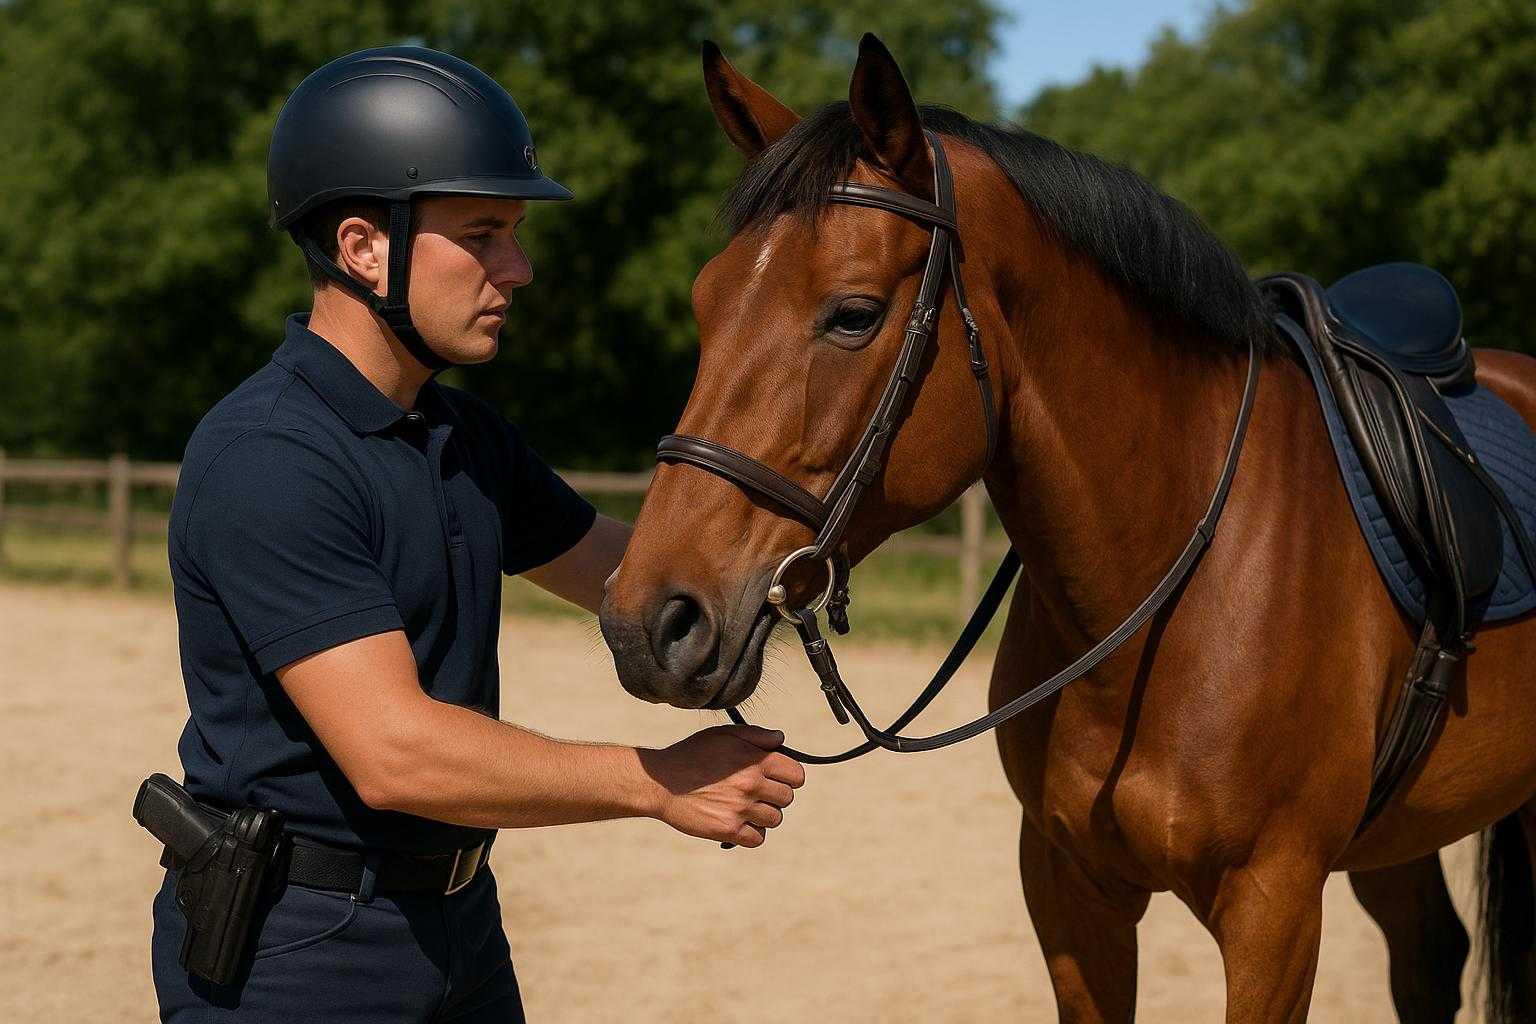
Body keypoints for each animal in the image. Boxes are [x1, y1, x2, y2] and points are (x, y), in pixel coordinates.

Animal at [597, 34, 1536, 1022]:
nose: (649, 622)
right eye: (704, 304)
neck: (1172, 577)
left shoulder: (1273, 906)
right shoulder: (1068, 888)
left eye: (854, 314)